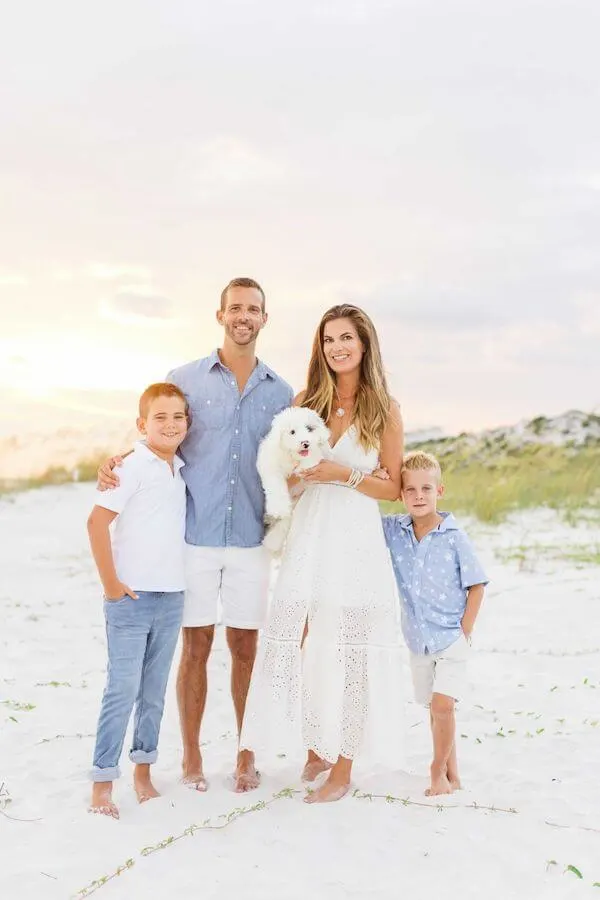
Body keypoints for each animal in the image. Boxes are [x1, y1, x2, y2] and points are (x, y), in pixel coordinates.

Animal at [256, 408, 330, 556]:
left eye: (309, 429)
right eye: (292, 432)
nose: (305, 443)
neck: (291, 456)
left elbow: (313, 457)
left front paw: (304, 466)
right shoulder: (270, 465)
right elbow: (276, 486)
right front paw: (278, 507)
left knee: (283, 524)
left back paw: (272, 542)